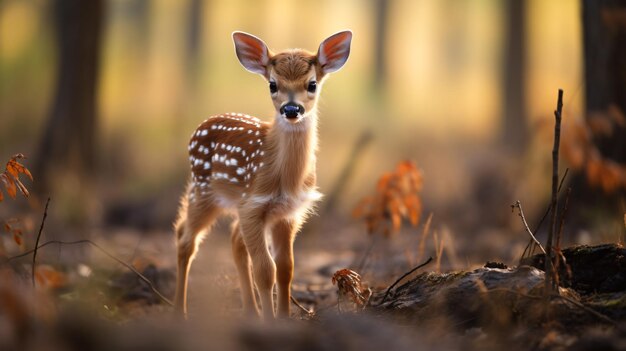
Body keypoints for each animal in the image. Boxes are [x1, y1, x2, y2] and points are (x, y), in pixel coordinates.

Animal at [176, 31, 352, 320]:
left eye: (312, 84)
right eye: (272, 84)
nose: (291, 109)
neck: (284, 179)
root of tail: (200, 127)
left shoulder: (288, 213)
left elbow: (286, 268)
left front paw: (282, 318)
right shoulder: (253, 204)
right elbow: (265, 270)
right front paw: (270, 321)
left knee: (234, 240)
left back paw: (250, 311)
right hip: (204, 191)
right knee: (185, 238)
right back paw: (180, 312)